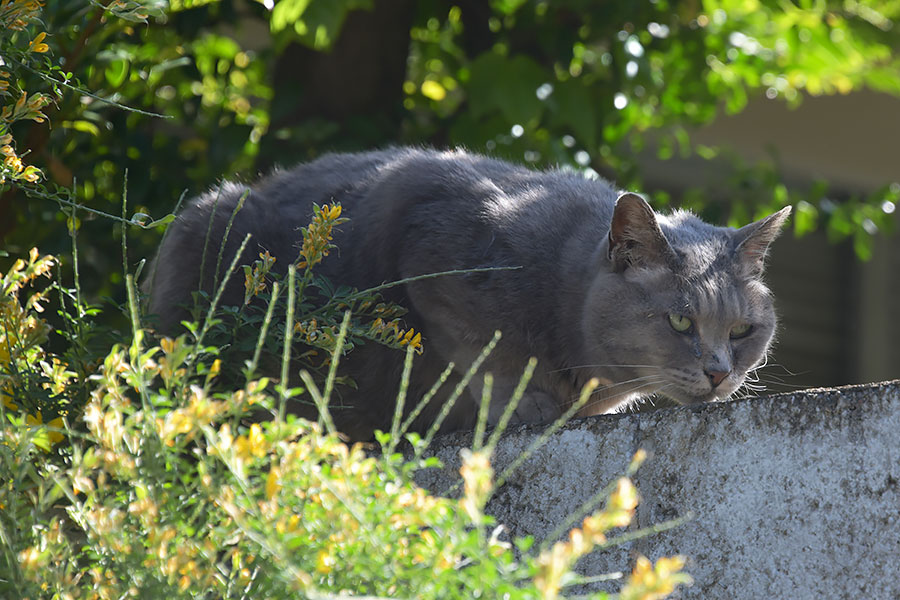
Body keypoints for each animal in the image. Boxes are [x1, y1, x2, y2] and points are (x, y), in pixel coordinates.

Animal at [146, 149, 788, 440]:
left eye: (742, 331)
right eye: (680, 323)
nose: (719, 373)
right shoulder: (428, 236)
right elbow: (488, 348)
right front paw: (531, 405)